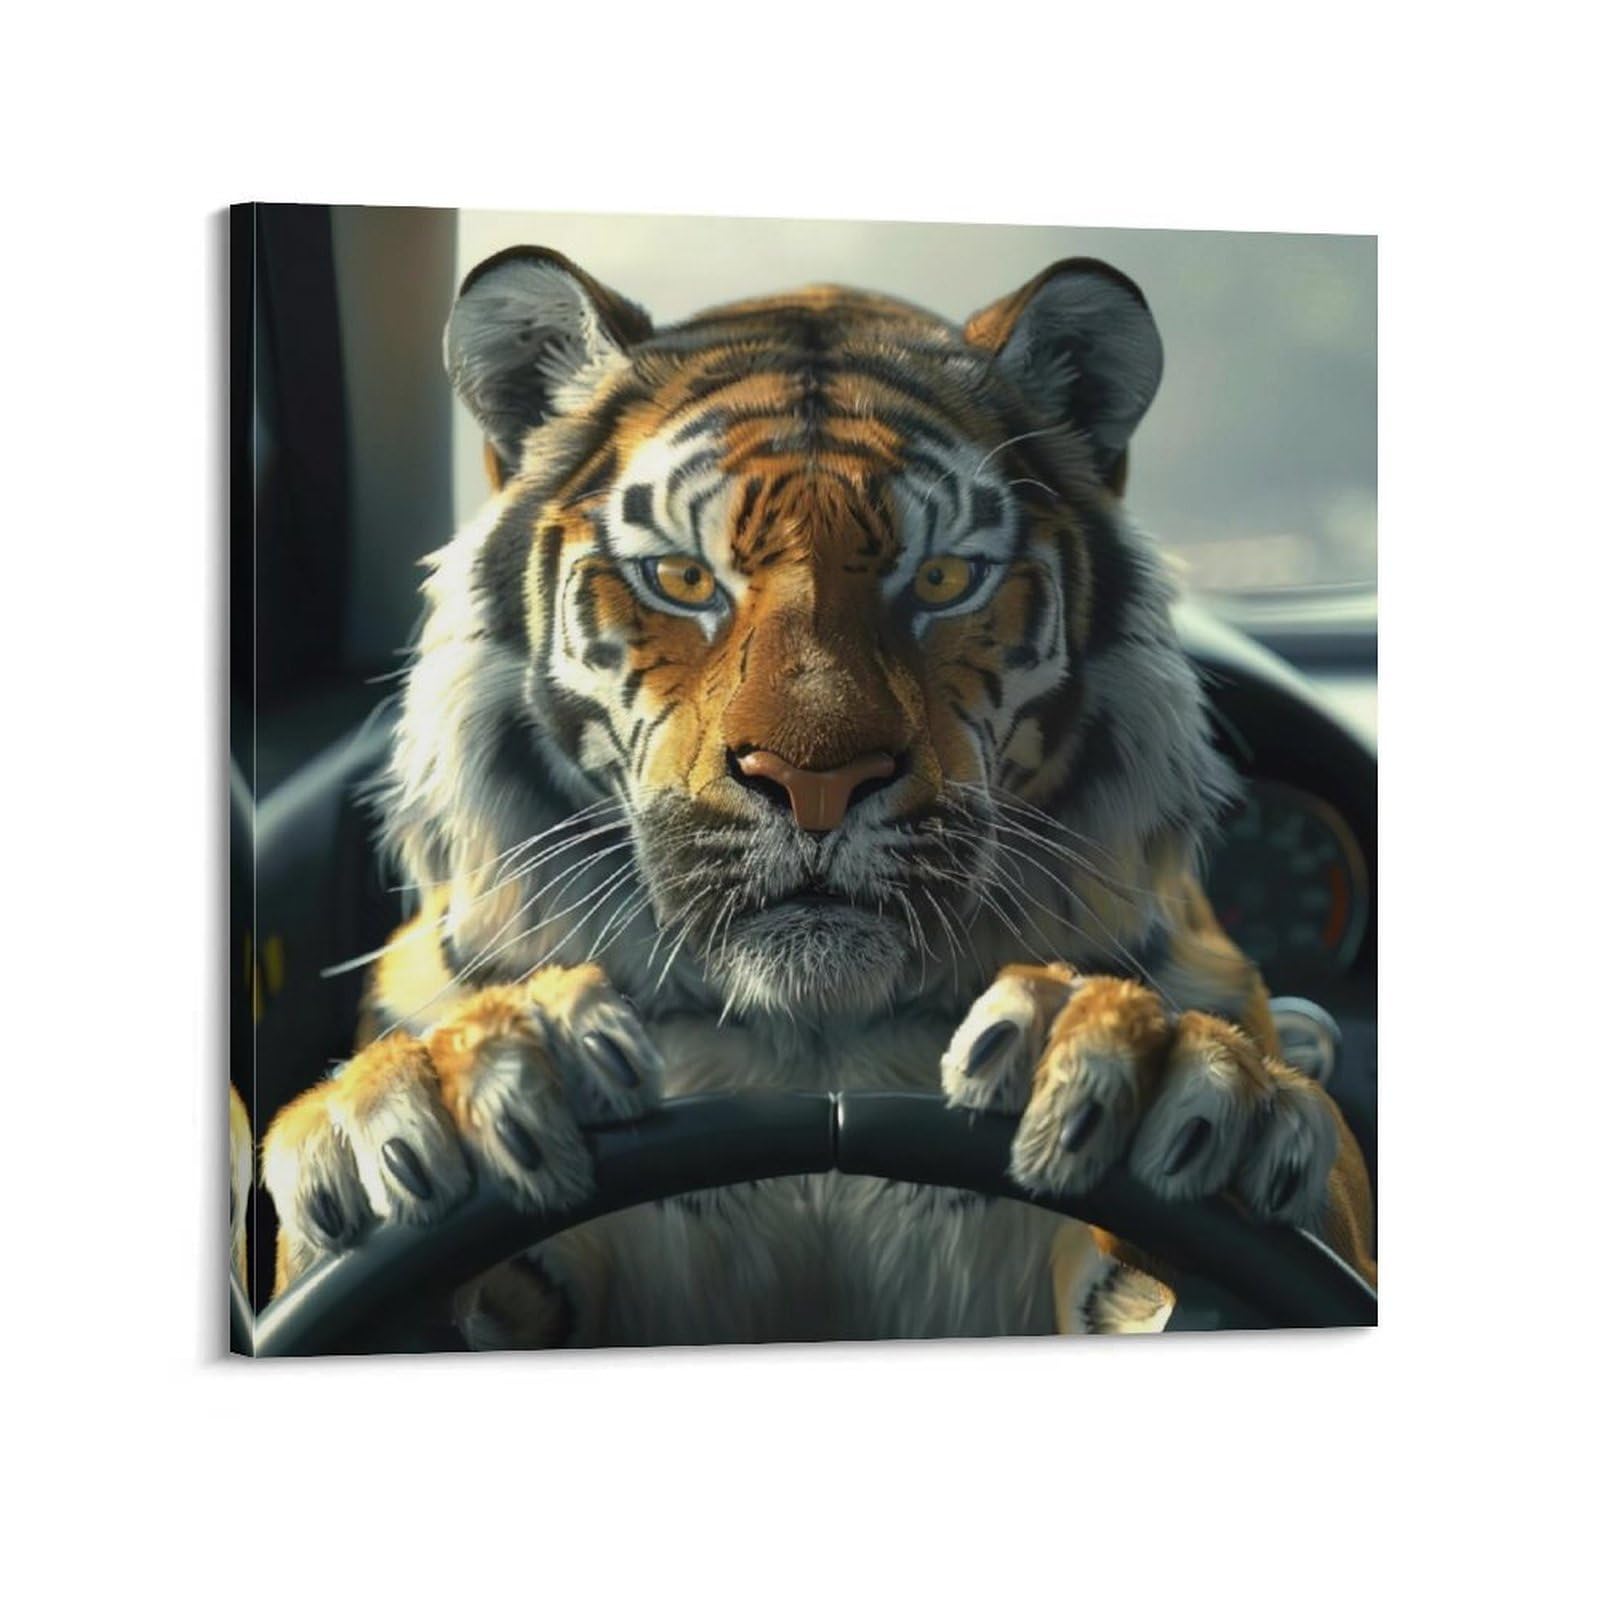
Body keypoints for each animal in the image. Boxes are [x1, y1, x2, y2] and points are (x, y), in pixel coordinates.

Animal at [258, 244, 1376, 1345]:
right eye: (682, 578)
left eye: (941, 580)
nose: (815, 780)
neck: (813, 1041)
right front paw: (452, 1092)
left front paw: (1164, 1080)